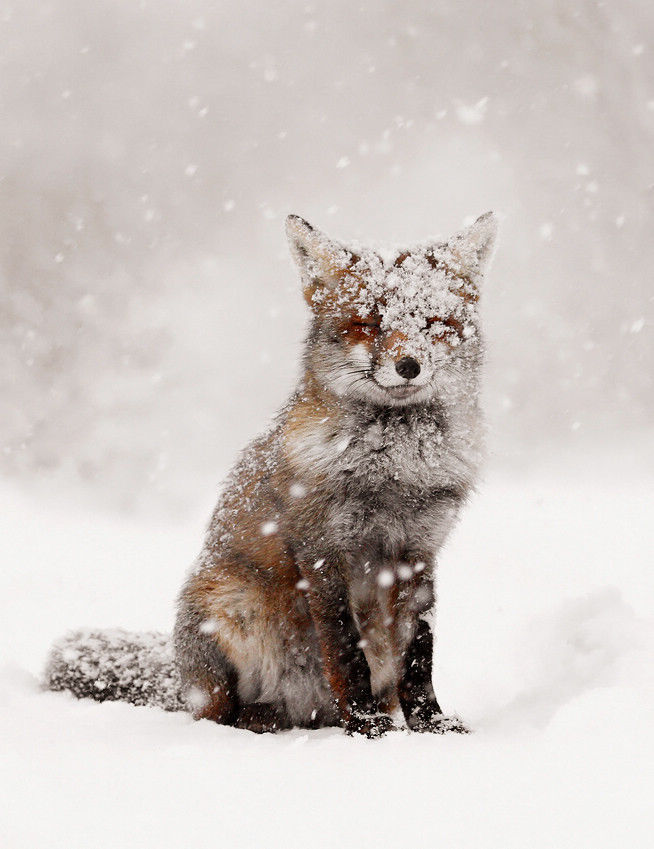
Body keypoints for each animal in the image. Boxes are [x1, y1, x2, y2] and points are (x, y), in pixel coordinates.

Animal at [44, 212, 498, 736]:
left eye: (432, 323)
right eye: (367, 324)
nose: (409, 365)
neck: (393, 473)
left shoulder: (420, 551)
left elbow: (419, 653)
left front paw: (430, 725)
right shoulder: (323, 551)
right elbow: (345, 651)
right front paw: (367, 728)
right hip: (229, 607)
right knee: (220, 714)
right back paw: (264, 720)